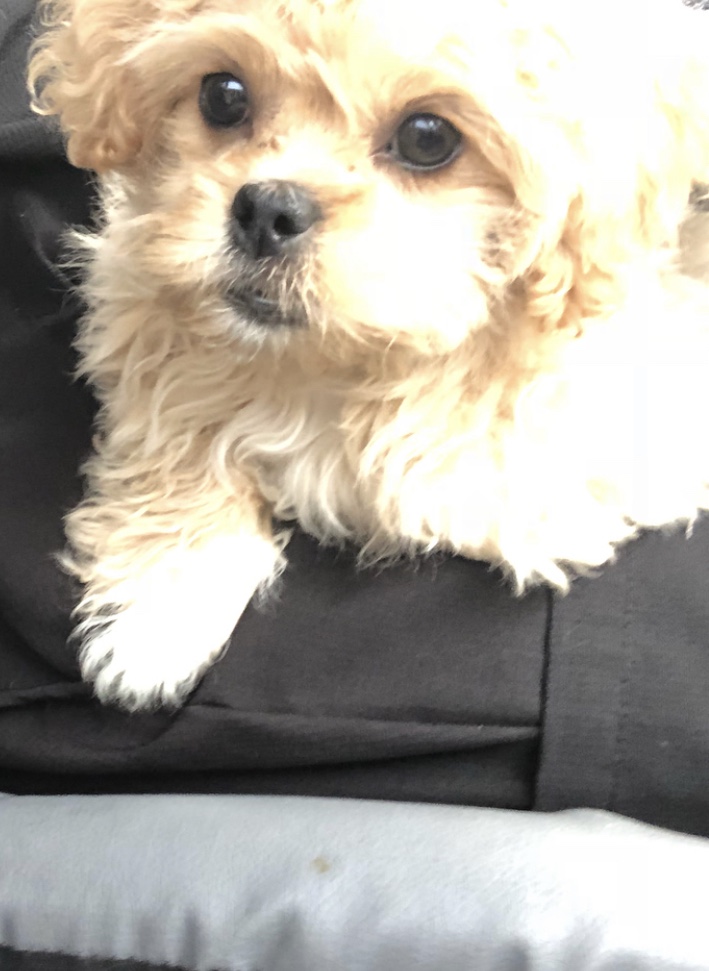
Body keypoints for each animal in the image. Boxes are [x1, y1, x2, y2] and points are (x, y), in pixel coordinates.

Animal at [29, 0, 709, 710]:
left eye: (428, 138)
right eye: (224, 95)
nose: (268, 209)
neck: (328, 366)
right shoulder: (139, 304)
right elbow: (179, 419)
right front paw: (159, 605)